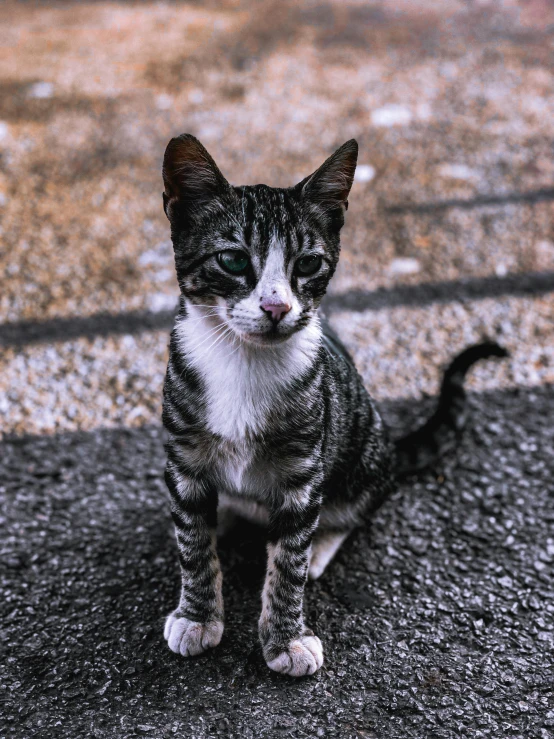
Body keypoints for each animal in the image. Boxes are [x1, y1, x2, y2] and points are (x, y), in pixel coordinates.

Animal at [158, 136, 504, 680]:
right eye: (232, 261)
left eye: (307, 264)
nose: (277, 307)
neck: (242, 361)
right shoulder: (184, 459)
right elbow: (194, 545)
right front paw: (196, 616)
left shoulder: (303, 472)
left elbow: (288, 562)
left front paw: (285, 639)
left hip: (362, 456)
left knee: (351, 508)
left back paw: (320, 541)